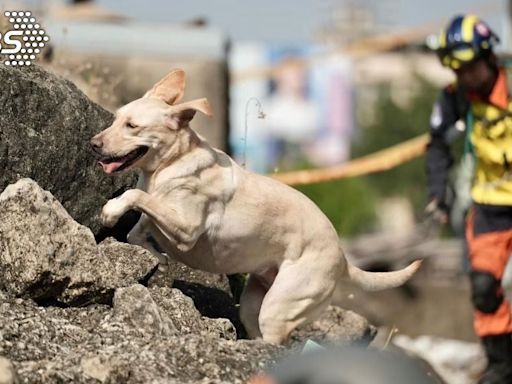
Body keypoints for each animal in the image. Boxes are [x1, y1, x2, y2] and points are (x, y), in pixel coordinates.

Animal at [92, 69, 420, 344]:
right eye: (116, 118)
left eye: (132, 126)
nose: (94, 144)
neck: (173, 163)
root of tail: (342, 258)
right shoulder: (161, 212)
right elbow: (137, 229)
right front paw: (156, 255)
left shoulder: (187, 230)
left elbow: (136, 196)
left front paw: (112, 210)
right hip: (252, 306)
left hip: (279, 306)